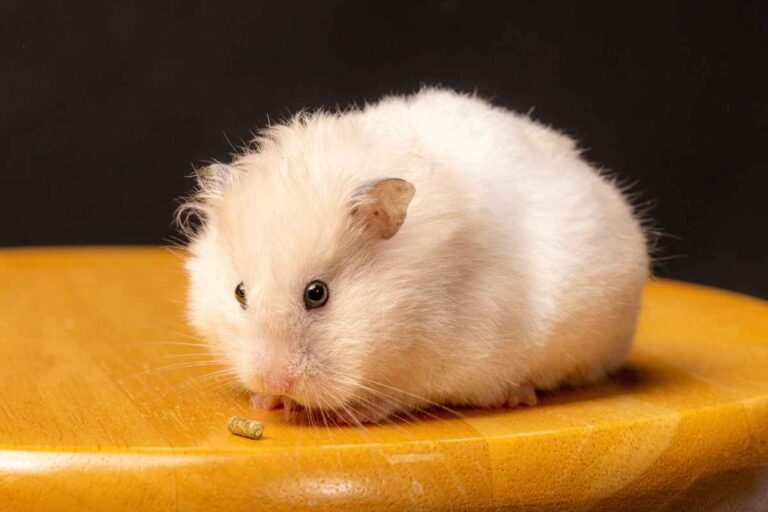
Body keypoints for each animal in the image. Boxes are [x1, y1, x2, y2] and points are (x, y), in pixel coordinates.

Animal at [180, 88, 649, 424]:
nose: (272, 378)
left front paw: (343, 413)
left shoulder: (439, 369)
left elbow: (393, 398)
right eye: (239, 293)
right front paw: (267, 401)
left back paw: (519, 396)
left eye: (317, 294)